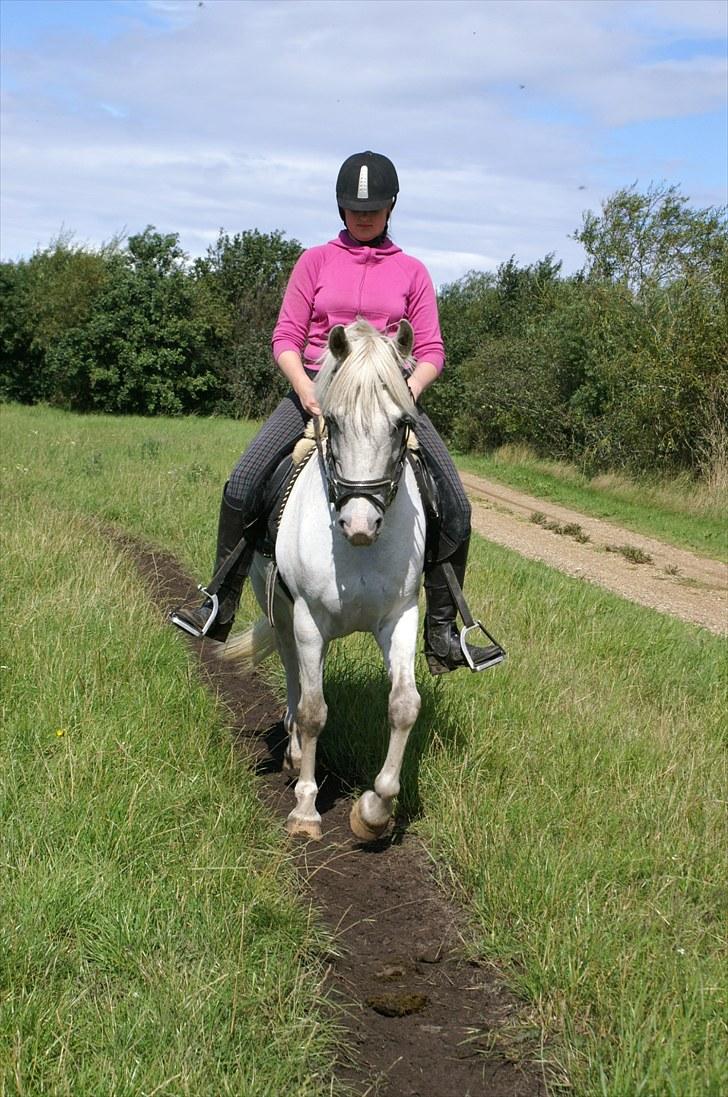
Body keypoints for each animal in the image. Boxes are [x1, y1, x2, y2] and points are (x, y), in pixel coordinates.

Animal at [221, 318, 427, 838]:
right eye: (332, 422)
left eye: (403, 424)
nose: (359, 523)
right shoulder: (308, 618)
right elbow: (314, 710)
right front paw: (306, 809)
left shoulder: (401, 616)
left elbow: (404, 705)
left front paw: (374, 811)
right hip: (283, 614)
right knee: (296, 679)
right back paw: (295, 756)